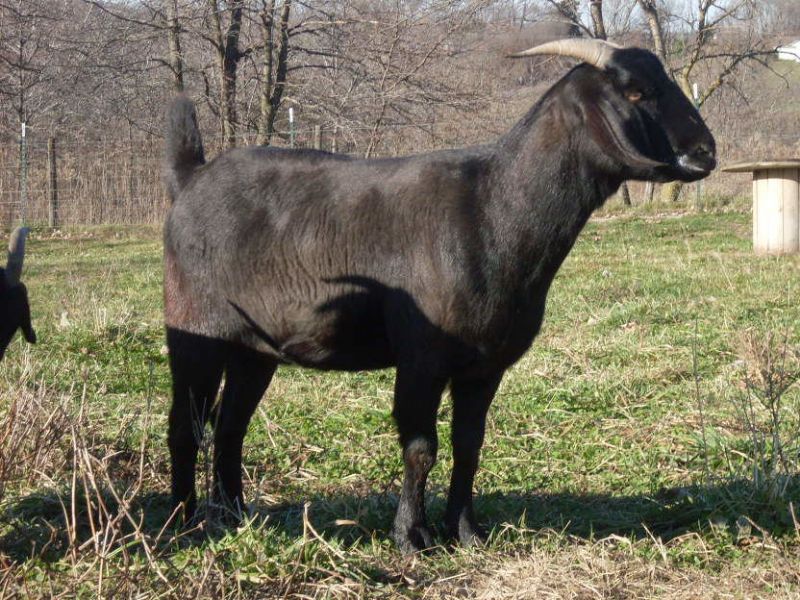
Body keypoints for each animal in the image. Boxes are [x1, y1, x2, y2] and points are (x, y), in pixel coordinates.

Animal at [162, 39, 715, 553]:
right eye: (635, 92)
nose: (704, 152)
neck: (494, 207)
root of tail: (190, 178)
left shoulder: (485, 365)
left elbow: (469, 444)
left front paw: (467, 532)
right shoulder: (421, 357)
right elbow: (420, 446)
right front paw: (412, 536)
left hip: (255, 348)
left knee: (230, 425)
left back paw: (235, 516)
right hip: (195, 329)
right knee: (186, 425)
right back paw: (183, 525)